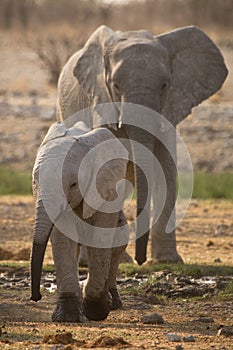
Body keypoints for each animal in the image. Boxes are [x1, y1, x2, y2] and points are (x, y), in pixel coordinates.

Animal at [30, 121, 128, 322]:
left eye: (73, 185)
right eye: (35, 183)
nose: (36, 297)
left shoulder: (106, 189)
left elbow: (100, 239)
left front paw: (96, 311)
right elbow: (63, 238)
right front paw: (67, 317)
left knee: (117, 245)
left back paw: (112, 303)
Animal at [57, 25, 228, 266]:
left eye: (165, 85)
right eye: (116, 85)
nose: (141, 260)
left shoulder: (169, 110)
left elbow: (166, 171)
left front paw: (167, 261)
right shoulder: (100, 102)